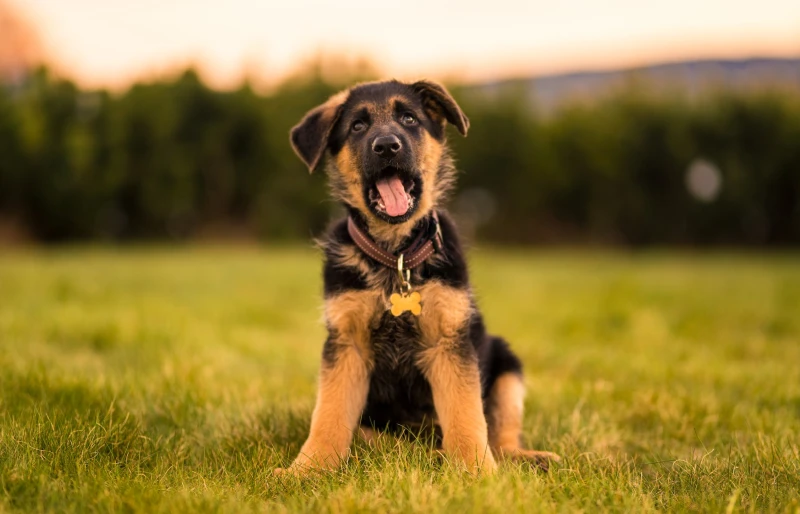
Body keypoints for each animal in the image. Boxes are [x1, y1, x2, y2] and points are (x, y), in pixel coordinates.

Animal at [284, 78, 560, 474]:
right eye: (357, 126)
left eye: (409, 119)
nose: (387, 146)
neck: (395, 255)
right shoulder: (346, 345)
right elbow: (328, 415)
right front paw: (306, 470)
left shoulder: (449, 343)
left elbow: (466, 415)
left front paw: (478, 472)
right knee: (379, 440)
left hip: (507, 366)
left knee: (500, 437)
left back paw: (523, 457)